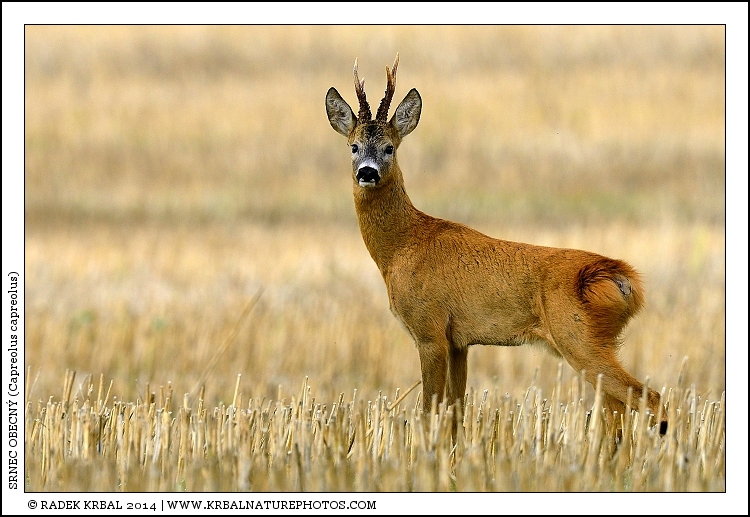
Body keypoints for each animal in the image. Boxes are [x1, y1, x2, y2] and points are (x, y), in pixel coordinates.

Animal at [325, 54, 667, 436]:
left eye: (390, 147)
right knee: (616, 410)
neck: (402, 246)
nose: (367, 172)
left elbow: (428, 413)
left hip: (578, 336)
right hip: (595, 342)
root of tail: (624, 279)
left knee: (649, 398)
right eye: (353, 146)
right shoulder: (459, 341)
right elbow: (455, 413)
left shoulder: (429, 330)